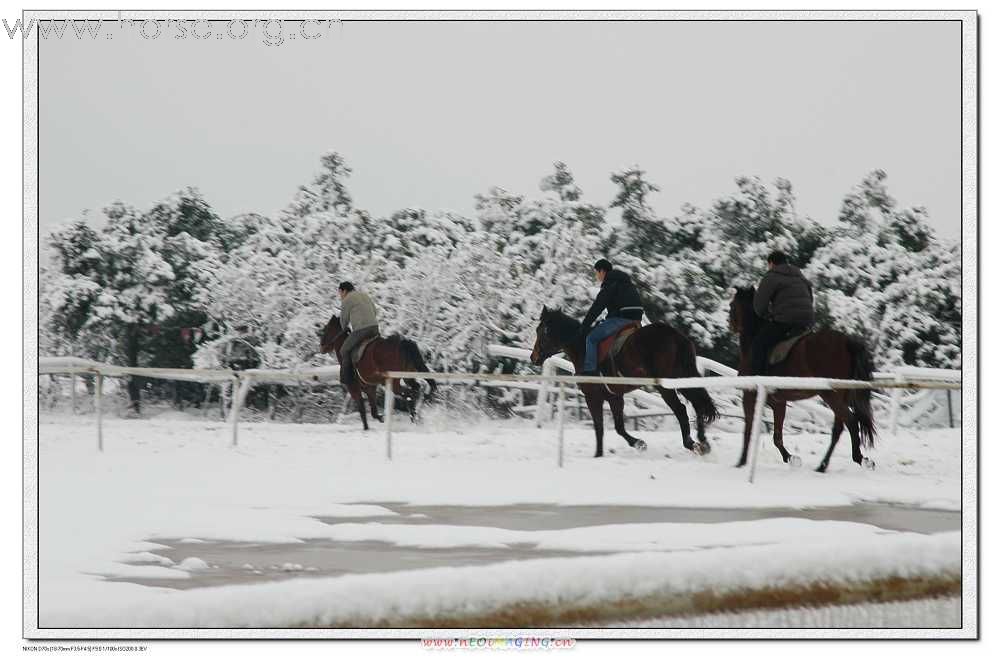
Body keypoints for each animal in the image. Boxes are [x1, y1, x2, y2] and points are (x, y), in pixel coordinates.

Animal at [532, 308, 720, 458]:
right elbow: (619, 427)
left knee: (681, 409)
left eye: (542, 331)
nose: (534, 357)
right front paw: (638, 443)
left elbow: (599, 427)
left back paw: (691, 443)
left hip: (666, 385)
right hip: (682, 378)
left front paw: (598, 454)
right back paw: (703, 442)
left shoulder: (593, 397)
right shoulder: (615, 397)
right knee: (698, 403)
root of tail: (674, 335)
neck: (582, 348)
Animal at [728, 292, 876, 472]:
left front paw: (741, 462)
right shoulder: (779, 403)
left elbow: (749, 429)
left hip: (830, 395)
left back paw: (851, 460)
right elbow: (777, 436)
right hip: (842, 395)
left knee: (851, 422)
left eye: (732, 305)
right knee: (839, 428)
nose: (730, 324)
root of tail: (847, 342)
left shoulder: (750, 396)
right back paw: (829, 464)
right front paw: (790, 458)